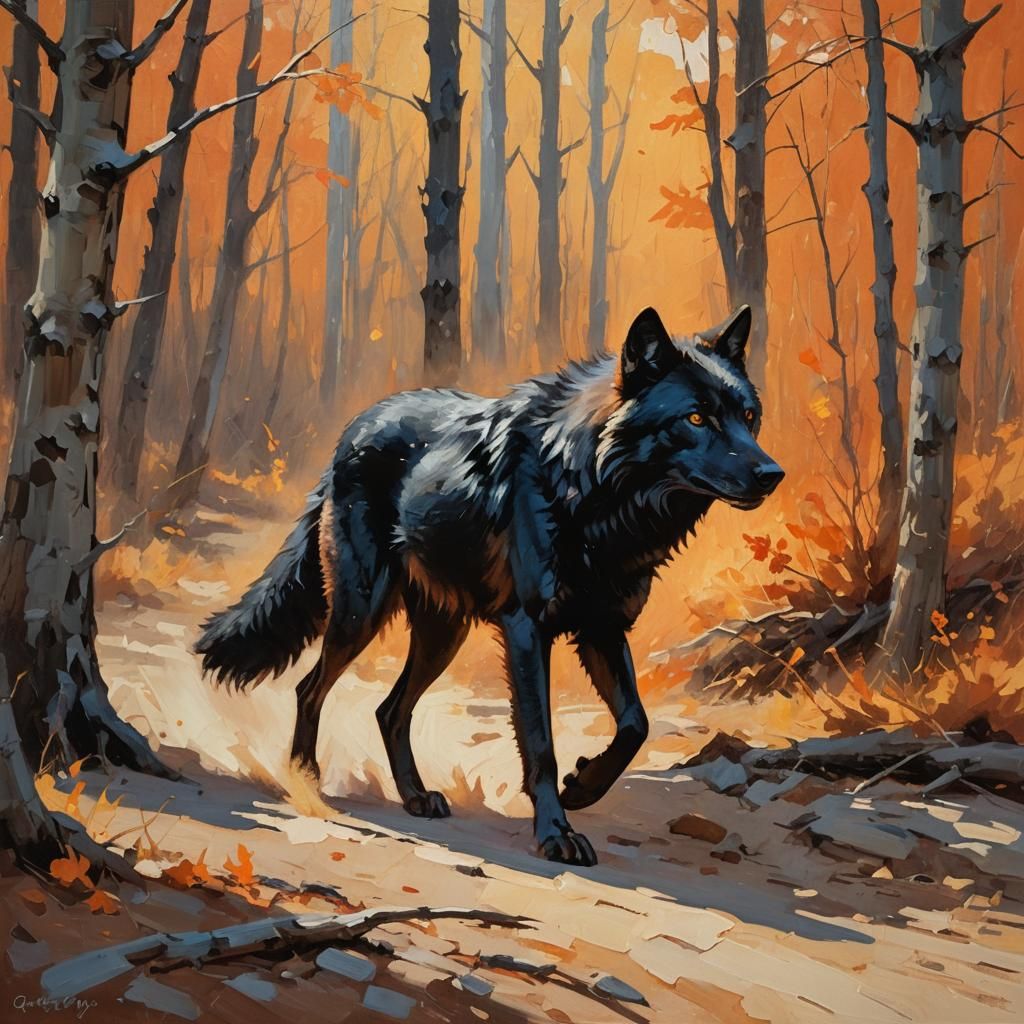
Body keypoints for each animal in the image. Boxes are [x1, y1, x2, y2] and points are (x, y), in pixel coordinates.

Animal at [196, 305, 784, 865]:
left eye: (749, 417)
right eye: (696, 417)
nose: (772, 474)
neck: (593, 491)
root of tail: (353, 430)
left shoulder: (602, 628)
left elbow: (634, 725)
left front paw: (582, 788)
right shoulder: (528, 630)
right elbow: (541, 742)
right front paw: (556, 834)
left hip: (442, 636)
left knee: (389, 709)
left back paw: (415, 796)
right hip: (360, 614)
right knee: (310, 687)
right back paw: (305, 779)